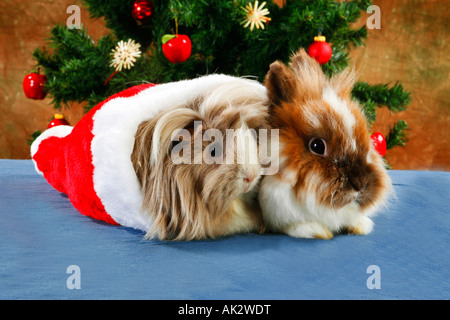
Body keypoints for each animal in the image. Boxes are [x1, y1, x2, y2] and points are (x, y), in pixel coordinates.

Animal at [258, 49, 392, 240]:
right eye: (317, 146)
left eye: (366, 141)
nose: (361, 184)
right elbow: (294, 226)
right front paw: (317, 230)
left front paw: (361, 226)